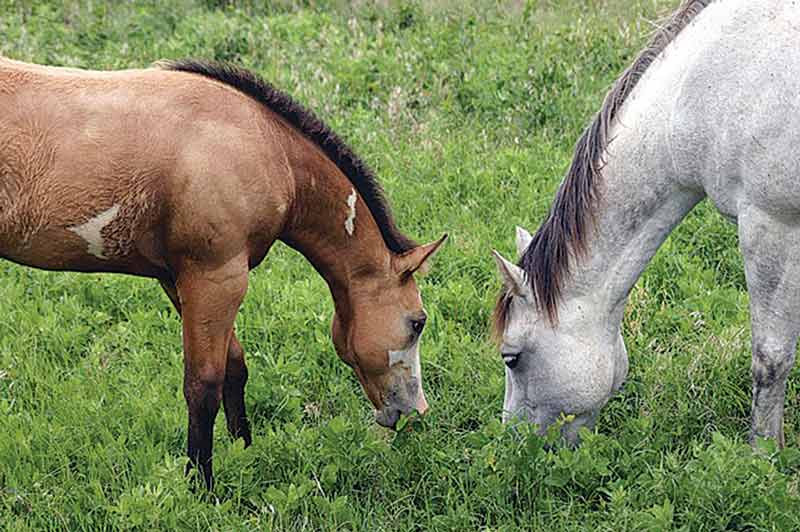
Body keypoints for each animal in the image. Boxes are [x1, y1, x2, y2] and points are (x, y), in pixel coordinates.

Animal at [0, 56, 444, 488]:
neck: (264, 144)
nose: (416, 409)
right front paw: (202, 485)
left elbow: (235, 366)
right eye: (418, 322)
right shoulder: (217, 279)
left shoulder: (181, 282)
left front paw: (243, 448)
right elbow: (204, 385)